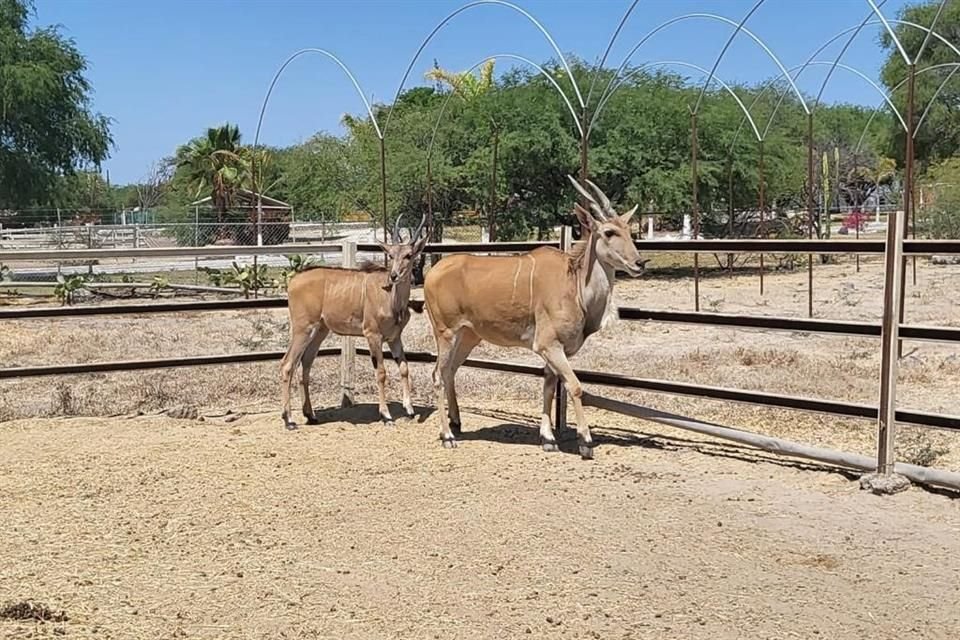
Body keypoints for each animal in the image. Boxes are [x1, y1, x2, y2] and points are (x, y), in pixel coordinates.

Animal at [278, 212, 428, 428]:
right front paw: (386, 415)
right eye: (391, 255)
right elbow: (381, 373)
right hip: (302, 329)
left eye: (408, 255)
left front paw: (409, 409)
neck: (391, 299)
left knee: (305, 365)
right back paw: (288, 419)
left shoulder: (394, 338)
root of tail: (293, 280)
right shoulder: (372, 335)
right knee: (287, 364)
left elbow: (404, 368)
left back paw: (311, 415)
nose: (394, 276)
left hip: (319, 331)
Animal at [426, 179, 644, 460]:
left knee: (450, 371)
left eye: (629, 230)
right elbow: (574, 386)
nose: (640, 263)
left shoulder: (555, 351)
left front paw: (548, 439)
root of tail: (432, 272)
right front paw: (585, 441)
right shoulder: (548, 345)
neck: (574, 285)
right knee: (437, 375)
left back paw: (456, 423)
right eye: (608, 232)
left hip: (468, 336)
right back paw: (447, 435)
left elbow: (549, 387)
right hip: (446, 333)